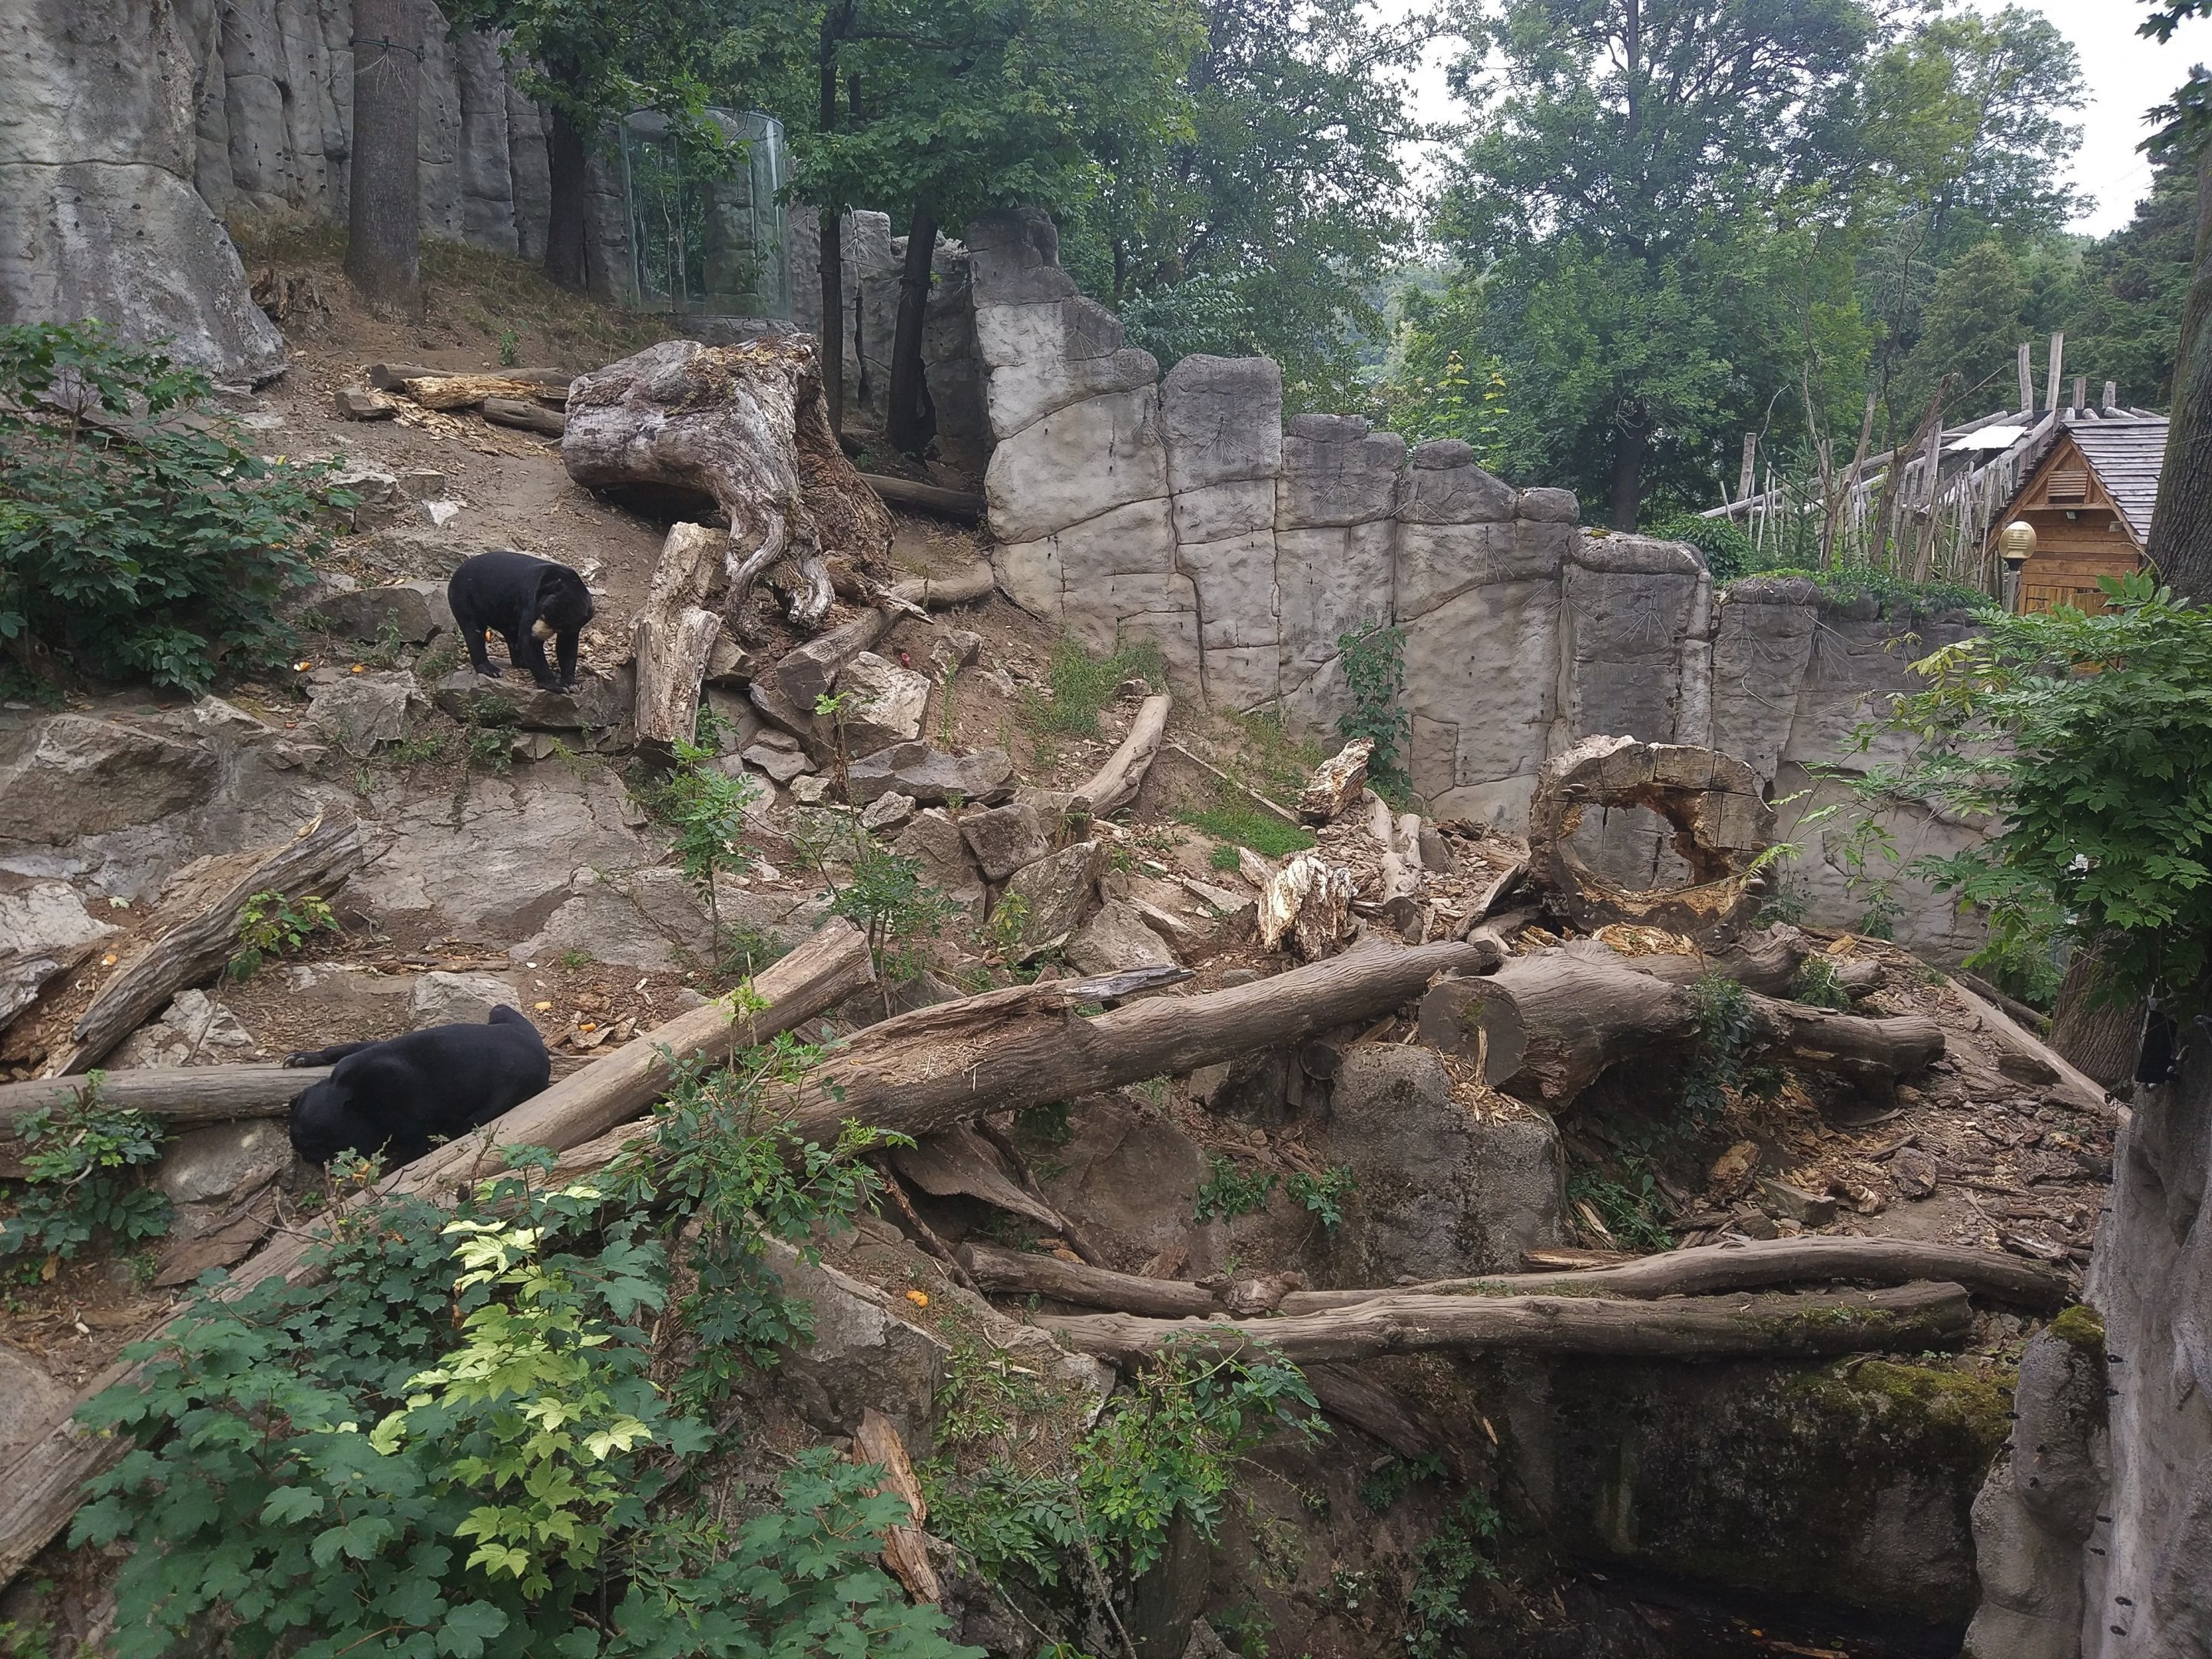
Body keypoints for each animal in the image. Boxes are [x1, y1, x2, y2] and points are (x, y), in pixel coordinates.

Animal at [283, 1005, 552, 1166]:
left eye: (318, 1148)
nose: (306, 1159)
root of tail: (541, 1052)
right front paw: (302, 1058)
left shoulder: (411, 1129)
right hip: (500, 1010)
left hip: (484, 1111)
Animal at [447, 549, 595, 691]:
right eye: (543, 614)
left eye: (558, 626)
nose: (537, 632)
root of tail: (456, 573)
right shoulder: (531, 602)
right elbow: (529, 641)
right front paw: (555, 684)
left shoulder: (575, 625)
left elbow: (567, 646)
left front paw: (571, 683)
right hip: (465, 597)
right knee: (473, 630)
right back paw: (491, 669)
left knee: (512, 637)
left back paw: (522, 663)